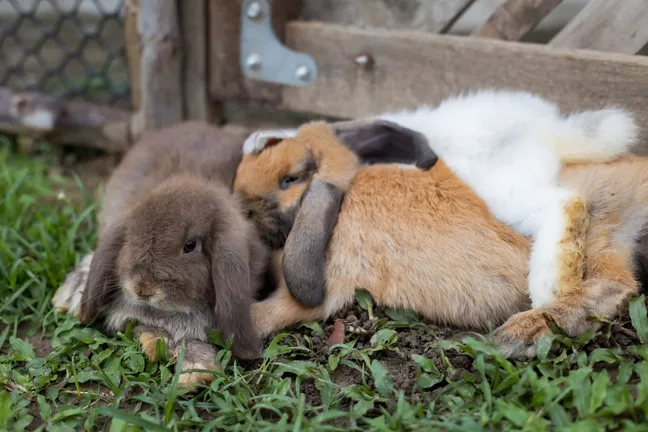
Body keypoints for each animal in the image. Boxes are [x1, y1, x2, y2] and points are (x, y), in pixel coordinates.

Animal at [233, 121, 647, 358]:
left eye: (290, 179)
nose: (240, 206)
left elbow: (272, 312)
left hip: (597, 232)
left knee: (612, 283)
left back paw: (516, 337)